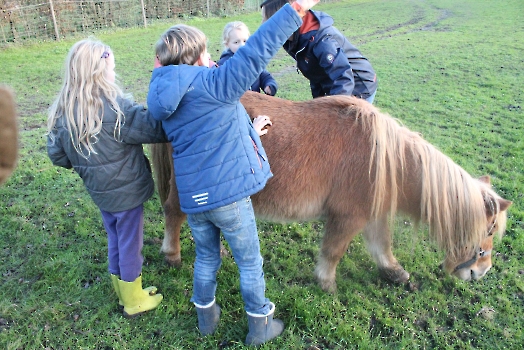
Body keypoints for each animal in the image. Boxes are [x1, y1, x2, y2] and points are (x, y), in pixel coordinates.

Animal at [151, 91, 512, 292]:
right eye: (488, 231)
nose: (481, 272)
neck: (385, 161)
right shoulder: (348, 217)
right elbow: (334, 251)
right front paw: (326, 283)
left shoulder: (374, 215)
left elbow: (382, 246)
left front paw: (395, 273)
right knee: (173, 214)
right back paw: (172, 255)